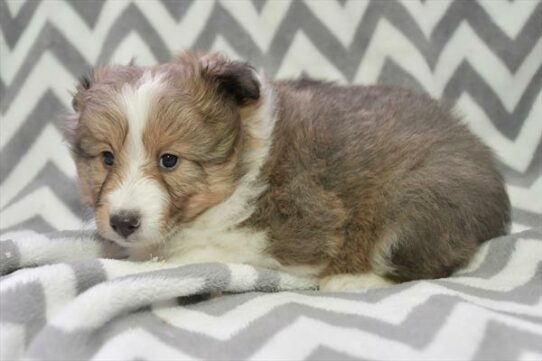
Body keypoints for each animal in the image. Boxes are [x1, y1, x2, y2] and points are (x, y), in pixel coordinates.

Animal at [66, 52, 512, 292]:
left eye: (169, 160)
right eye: (107, 158)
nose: (123, 223)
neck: (242, 166)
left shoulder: (298, 228)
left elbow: (198, 251)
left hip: (415, 208)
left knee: (428, 266)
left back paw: (352, 281)